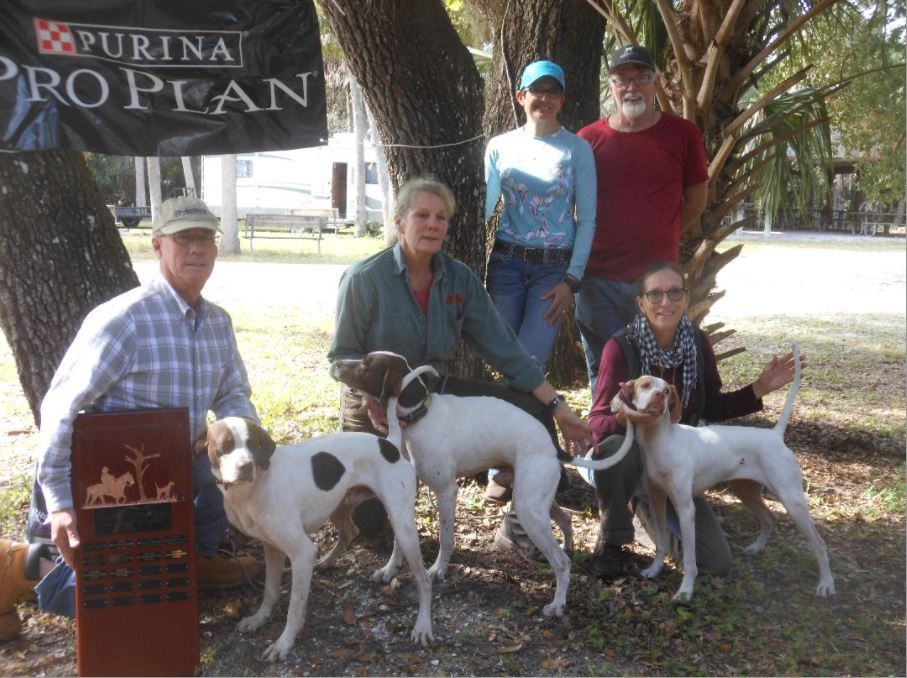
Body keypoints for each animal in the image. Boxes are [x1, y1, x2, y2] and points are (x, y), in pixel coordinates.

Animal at [200, 420, 434, 664]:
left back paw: (423, 626)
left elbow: (294, 607)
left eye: (252, 443)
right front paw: (259, 618)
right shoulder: (272, 548)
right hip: (342, 505)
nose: (246, 466)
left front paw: (284, 643)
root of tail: (389, 443)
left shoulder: (301, 552)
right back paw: (333, 562)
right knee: (350, 532)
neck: (251, 489)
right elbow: (270, 592)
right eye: (224, 446)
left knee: (424, 581)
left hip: (401, 522)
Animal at [330, 354, 636, 620]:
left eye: (366, 363)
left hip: (529, 510)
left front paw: (438, 570)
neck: (420, 416)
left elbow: (445, 538)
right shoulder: (402, 495)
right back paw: (568, 547)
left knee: (561, 563)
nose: (334, 362)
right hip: (535, 499)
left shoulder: (446, 491)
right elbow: (398, 541)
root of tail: (553, 445)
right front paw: (390, 569)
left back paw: (557, 605)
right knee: (565, 519)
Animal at [608, 348, 832, 604]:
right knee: (769, 518)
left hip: (792, 500)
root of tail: (775, 435)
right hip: (746, 491)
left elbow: (690, 560)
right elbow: (662, 544)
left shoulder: (686, 510)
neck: (660, 441)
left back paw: (826, 584)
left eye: (666, 391)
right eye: (645, 385)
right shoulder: (657, 501)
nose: (658, 397)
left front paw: (686, 591)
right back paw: (757, 547)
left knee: (820, 544)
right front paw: (655, 569)